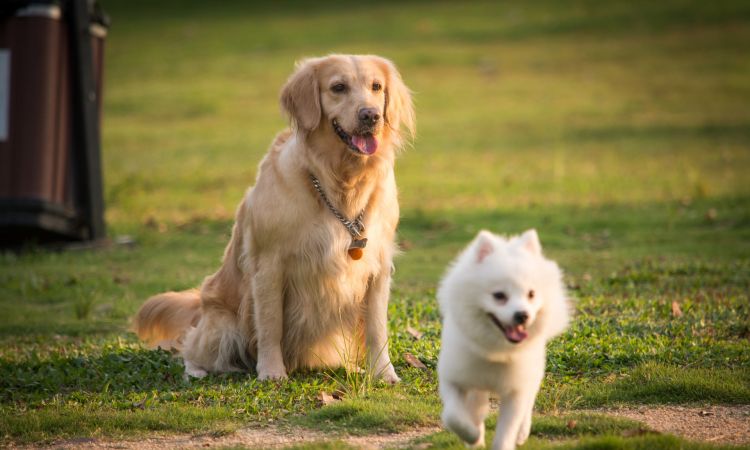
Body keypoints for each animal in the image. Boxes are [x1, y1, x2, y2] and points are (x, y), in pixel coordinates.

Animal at [438, 230, 572, 448]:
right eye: (499, 295)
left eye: (531, 294)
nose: (522, 315)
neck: (496, 351)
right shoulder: (454, 378)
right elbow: (453, 417)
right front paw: (473, 436)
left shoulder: (515, 391)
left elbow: (507, 431)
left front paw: (505, 437)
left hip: (533, 374)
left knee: (528, 404)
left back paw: (522, 433)